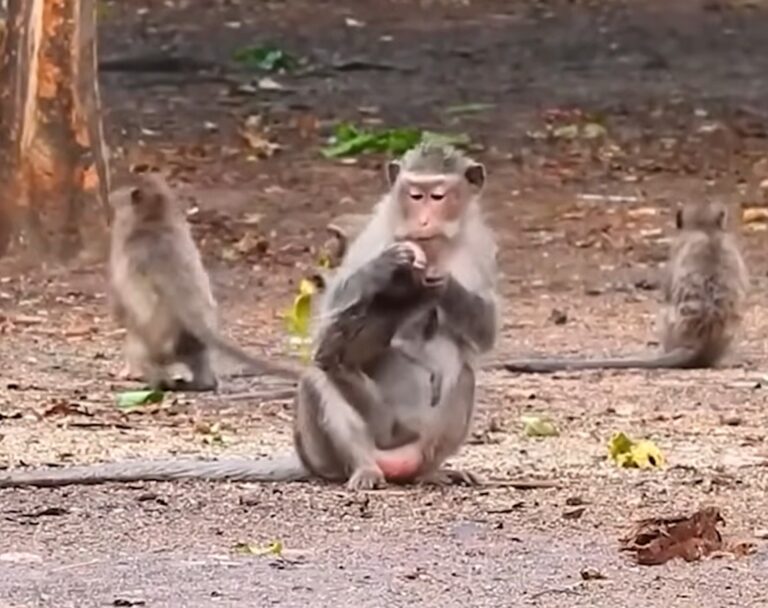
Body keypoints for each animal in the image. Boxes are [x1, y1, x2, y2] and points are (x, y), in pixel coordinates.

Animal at [108, 172, 302, 392]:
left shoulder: (124, 245)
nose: (110, 194)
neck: (154, 218)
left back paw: (156, 382)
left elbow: (121, 295)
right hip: (190, 340)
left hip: (156, 342)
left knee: (140, 349)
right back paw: (203, 382)